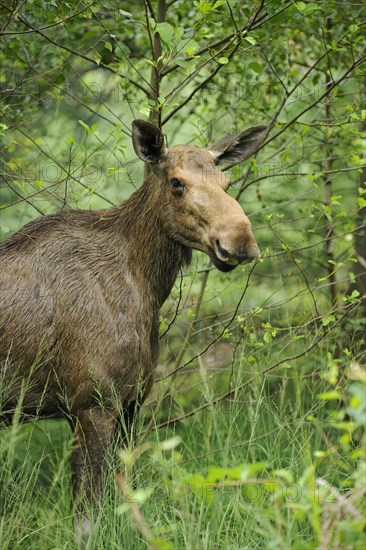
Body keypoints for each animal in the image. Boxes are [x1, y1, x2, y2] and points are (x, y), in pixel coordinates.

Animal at [0, 119, 266, 540]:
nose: (239, 240)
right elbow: (87, 516)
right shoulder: (92, 403)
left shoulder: (131, 403)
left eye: (226, 182)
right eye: (176, 182)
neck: (148, 286)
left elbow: (122, 495)